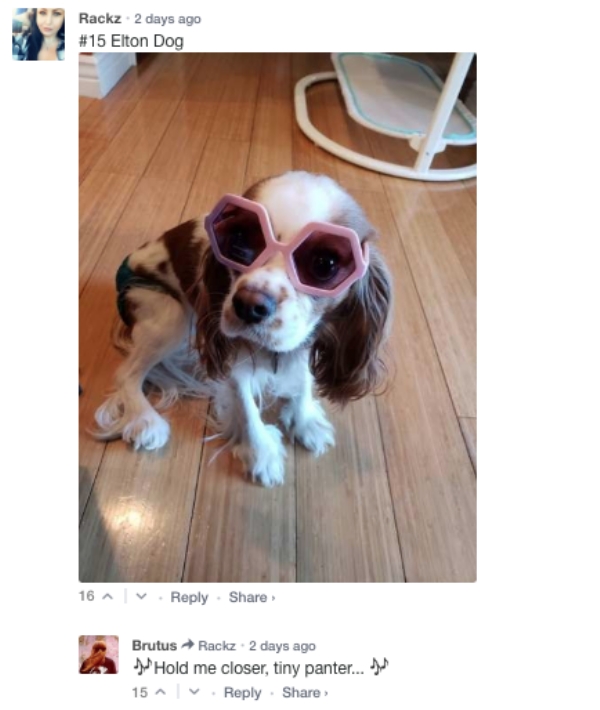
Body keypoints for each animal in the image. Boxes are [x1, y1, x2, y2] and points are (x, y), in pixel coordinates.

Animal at [94, 171, 392, 487]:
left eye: (325, 263)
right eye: (237, 240)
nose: (249, 305)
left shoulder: (306, 338)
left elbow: (303, 379)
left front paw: (305, 419)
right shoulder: (231, 355)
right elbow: (246, 405)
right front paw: (262, 454)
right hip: (169, 314)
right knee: (127, 374)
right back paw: (146, 420)